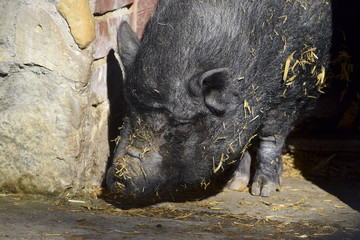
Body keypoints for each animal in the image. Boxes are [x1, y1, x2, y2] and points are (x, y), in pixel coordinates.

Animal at [107, 0, 332, 199]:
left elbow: (270, 137)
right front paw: (233, 186)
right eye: (130, 113)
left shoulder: (291, 92)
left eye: (178, 126)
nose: (119, 175)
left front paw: (262, 191)